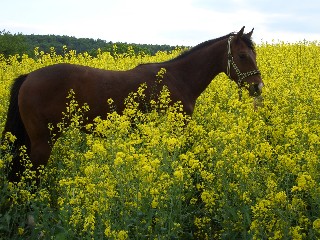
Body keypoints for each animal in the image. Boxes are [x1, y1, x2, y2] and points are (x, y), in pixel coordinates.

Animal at [1, 26, 262, 181]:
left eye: (255, 54)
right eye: (242, 56)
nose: (258, 87)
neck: (178, 78)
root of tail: (28, 77)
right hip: (42, 141)